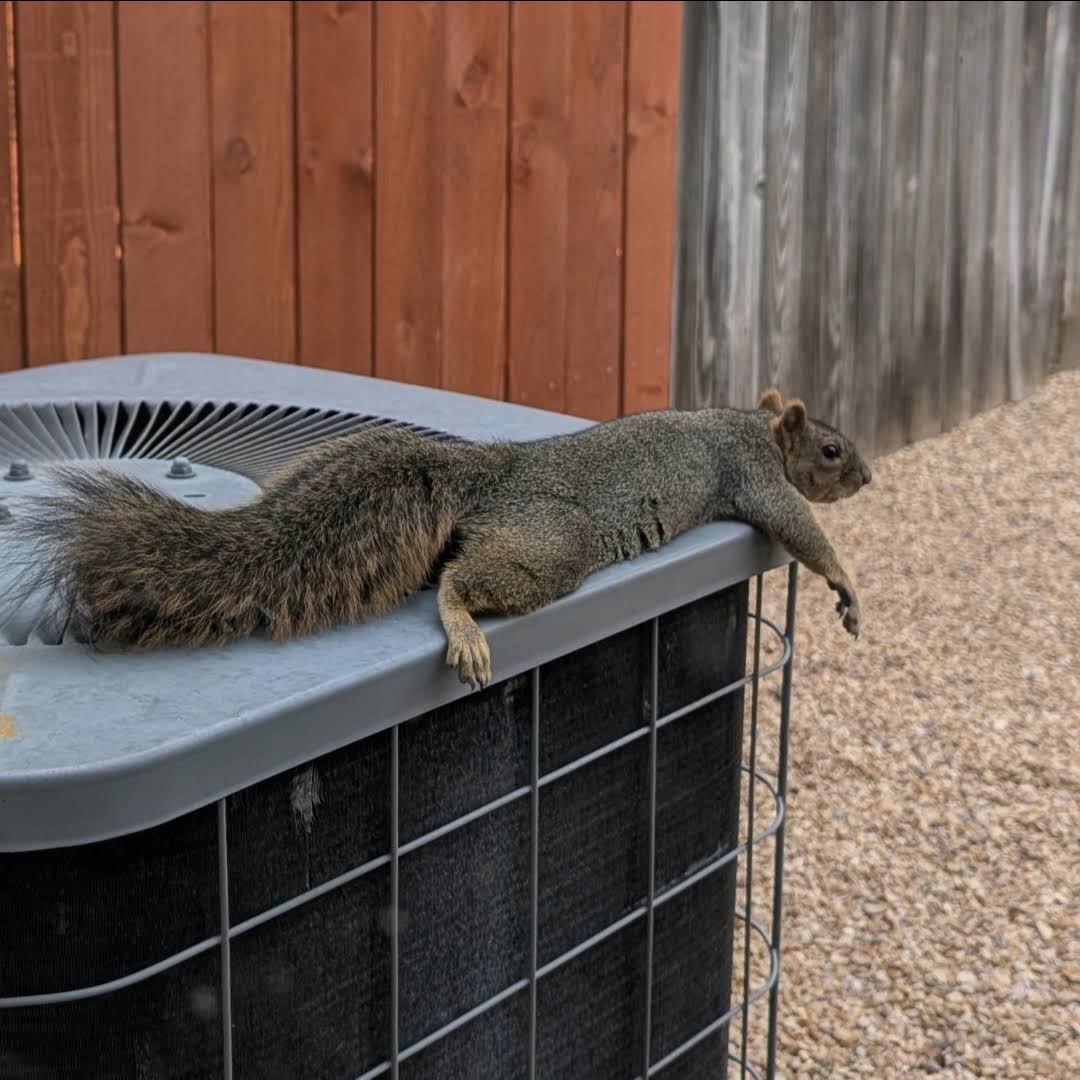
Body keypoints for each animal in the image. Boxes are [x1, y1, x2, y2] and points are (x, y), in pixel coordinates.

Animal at [10, 388, 870, 689]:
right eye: (831, 450)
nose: (866, 477)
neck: (752, 424)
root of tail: (491, 475)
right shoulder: (753, 475)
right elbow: (801, 528)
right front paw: (847, 584)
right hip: (550, 546)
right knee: (459, 579)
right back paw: (465, 633)